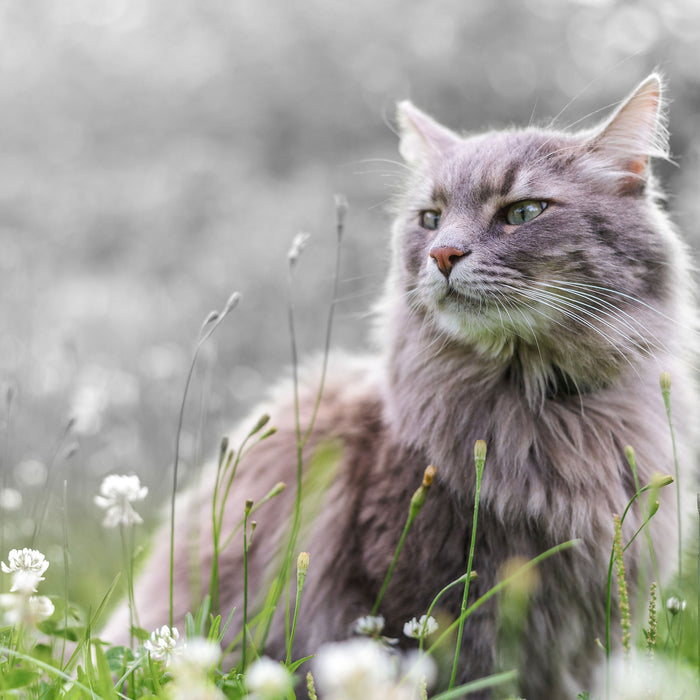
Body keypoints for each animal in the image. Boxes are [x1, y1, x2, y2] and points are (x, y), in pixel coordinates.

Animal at [102, 74, 696, 696]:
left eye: (524, 211)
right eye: (430, 219)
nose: (443, 254)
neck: (539, 406)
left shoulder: (594, 618)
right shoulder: (415, 601)